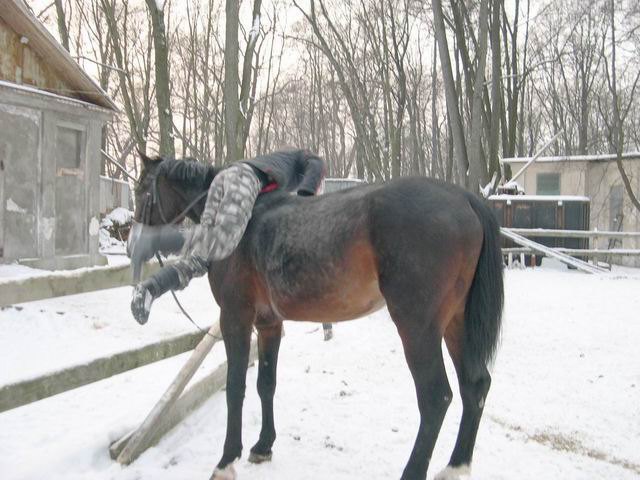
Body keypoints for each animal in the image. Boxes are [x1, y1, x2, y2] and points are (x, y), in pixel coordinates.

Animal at [129, 154, 504, 480]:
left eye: (142, 188)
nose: (133, 243)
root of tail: (465, 198)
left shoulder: (235, 318)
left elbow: (235, 387)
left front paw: (226, 461)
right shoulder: (268, 323)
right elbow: (266, 383)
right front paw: (263, 446)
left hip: (418, 328)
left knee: (436, 397)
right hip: (455, 322)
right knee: (475, 385)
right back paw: (456, 467)